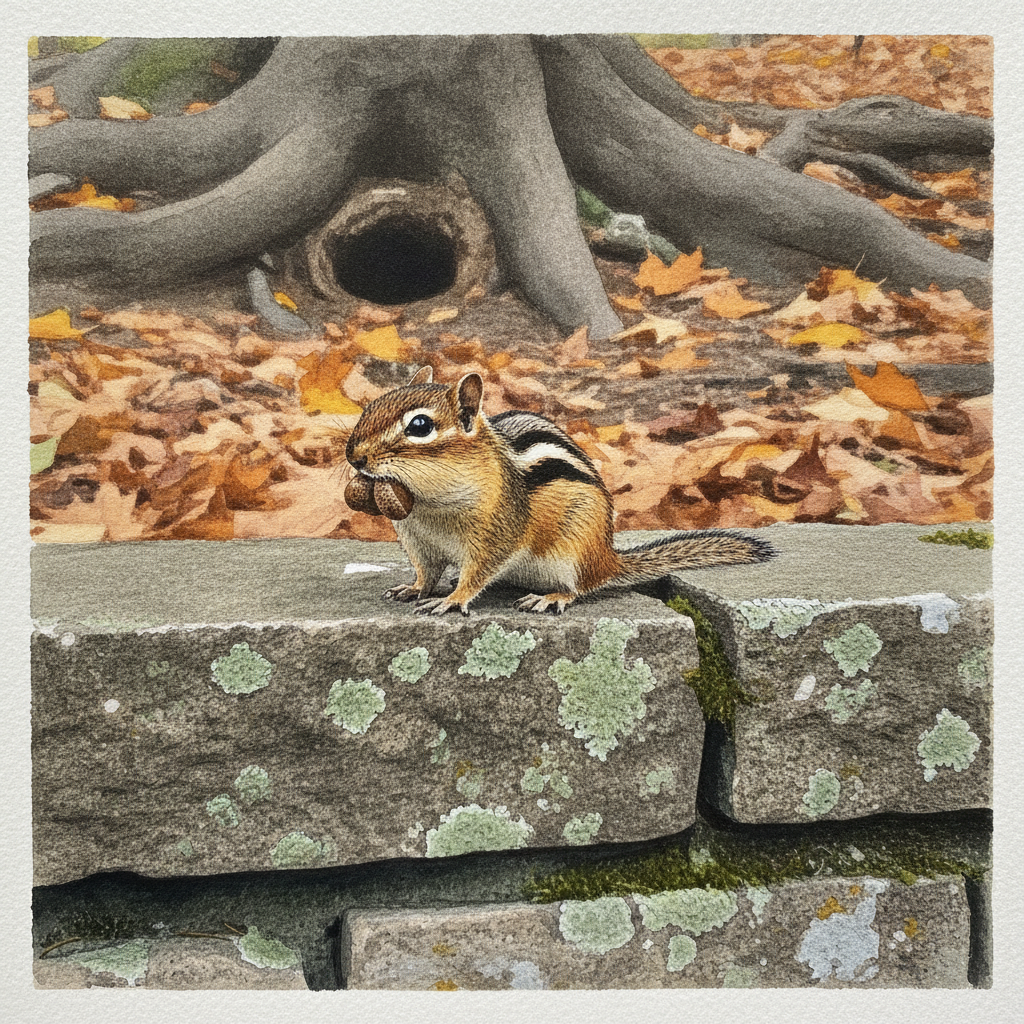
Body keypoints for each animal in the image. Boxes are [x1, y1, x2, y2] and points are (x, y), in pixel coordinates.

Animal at [345, 365, 774, 615]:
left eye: (419, 426)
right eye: (371, 406)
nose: (353, 455)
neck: (427, 504)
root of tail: (607, 558)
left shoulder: (498, 531)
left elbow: (479, 571)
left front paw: (453, 599)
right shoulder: (419, 540)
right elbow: (426, 570)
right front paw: (416, 588)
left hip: (572, 550)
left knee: (578, 588)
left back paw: (550, 597)